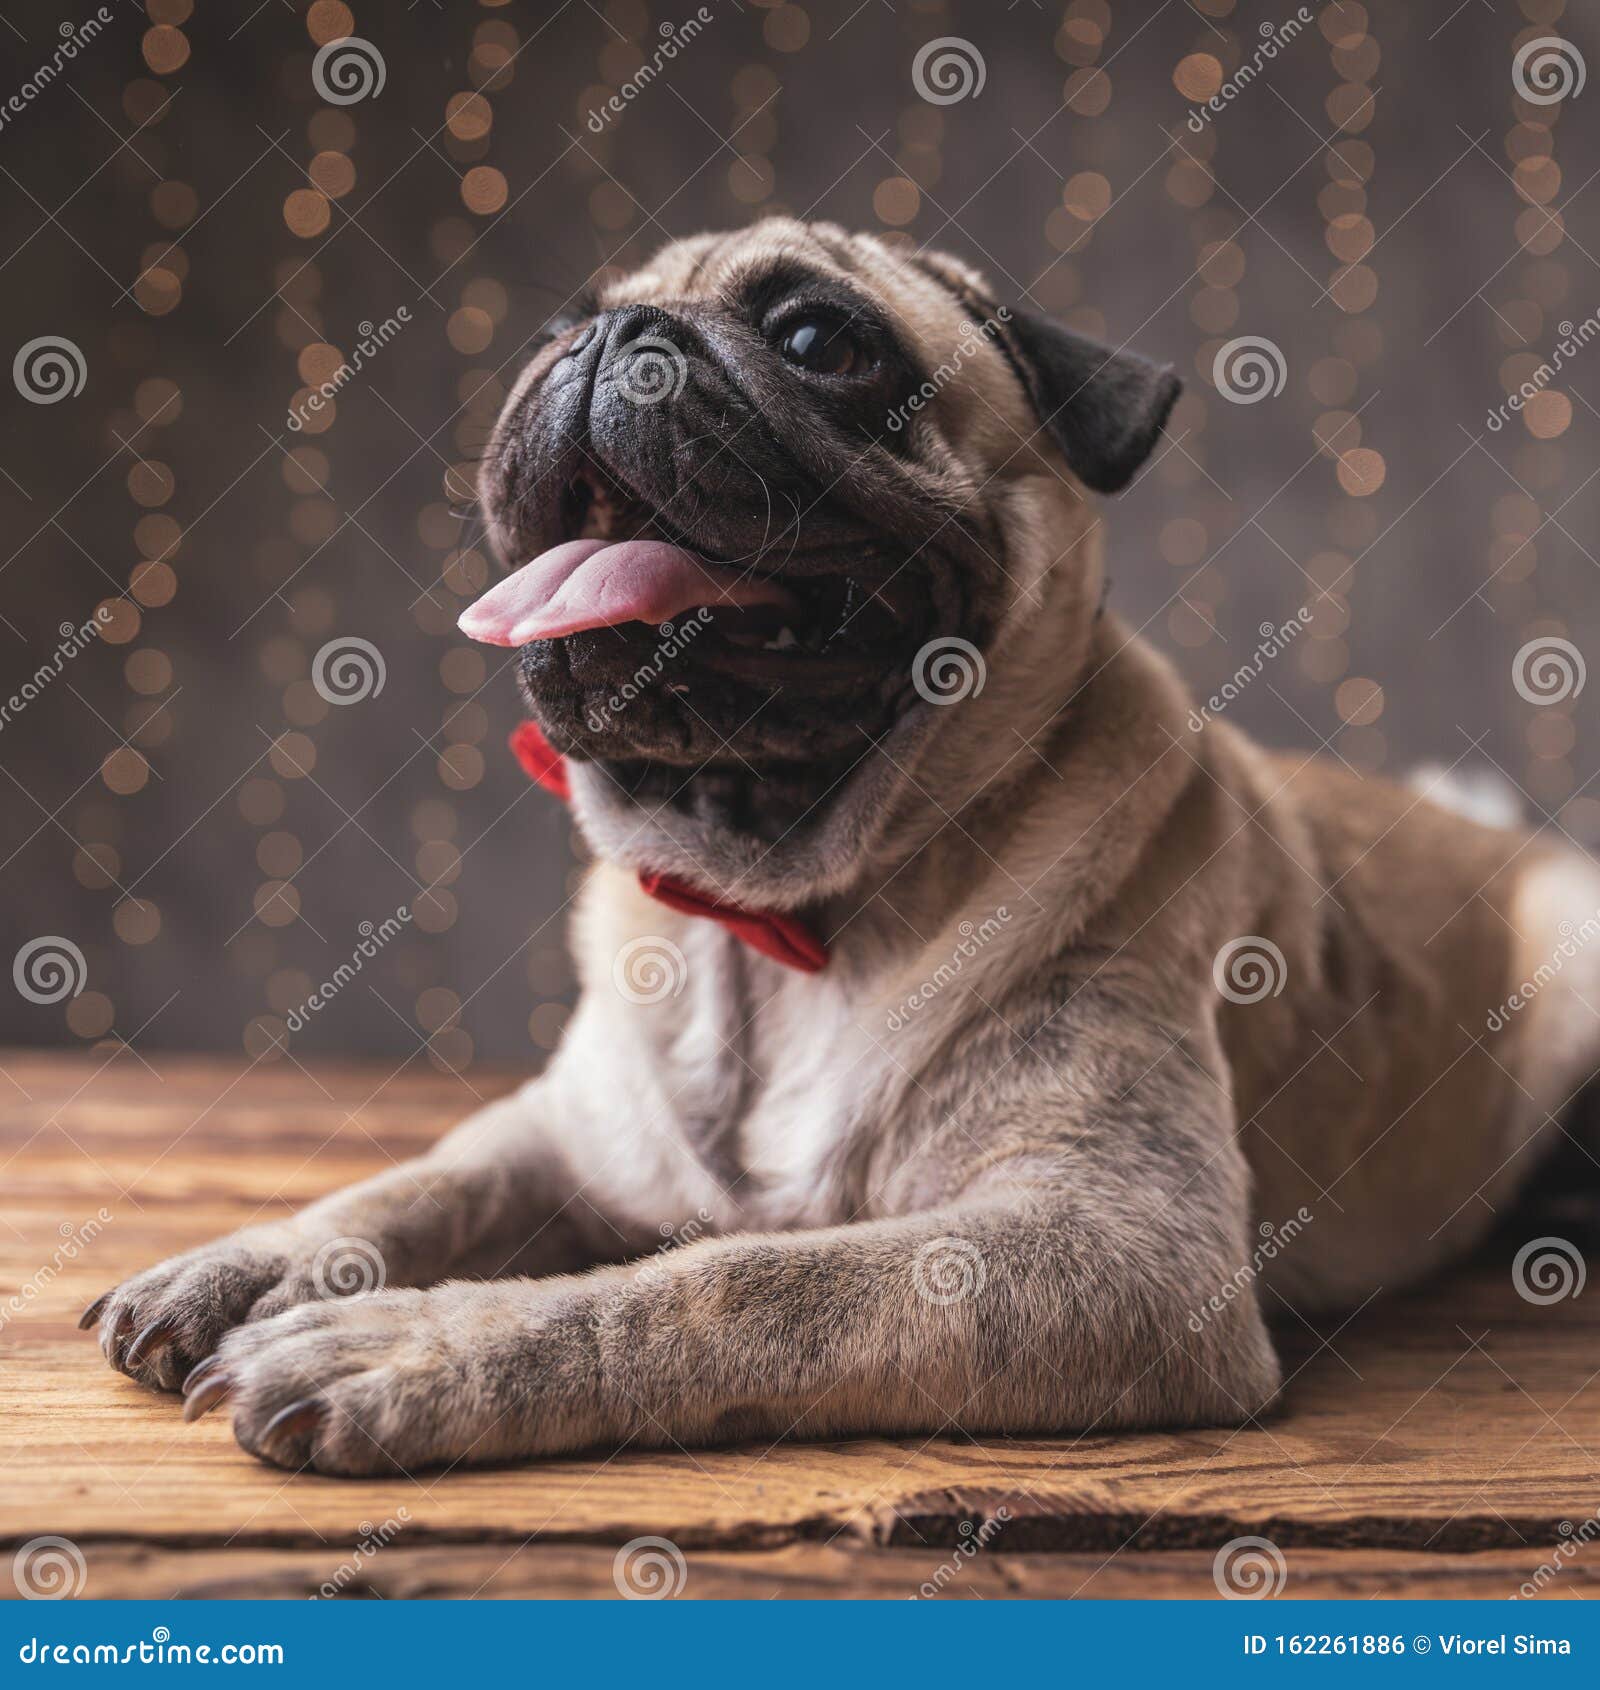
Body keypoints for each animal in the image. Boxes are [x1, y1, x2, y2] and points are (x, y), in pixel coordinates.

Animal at [84, 218, 1600, 1473]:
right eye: (549, 333)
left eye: (821, 340)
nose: (608, 343)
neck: (780, 904)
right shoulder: (558, 1135)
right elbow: (423, 1180)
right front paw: (258, 1257)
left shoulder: (1116, 1246)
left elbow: (732, 1280)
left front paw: (418, 1346)